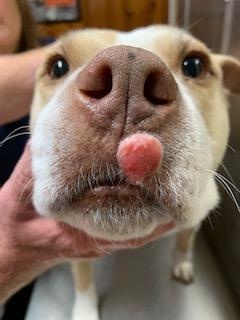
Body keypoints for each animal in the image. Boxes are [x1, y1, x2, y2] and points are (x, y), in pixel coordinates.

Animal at [30, 25, 240, 320]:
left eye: (194, 64)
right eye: (58, 66)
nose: (127, 74)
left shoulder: (199, 210)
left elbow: (185, 240)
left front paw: (182, 264)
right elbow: (83, 280)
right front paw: (85, 310)